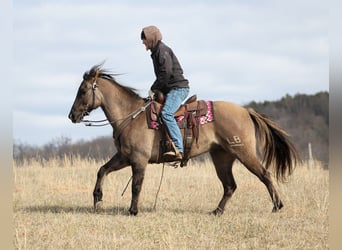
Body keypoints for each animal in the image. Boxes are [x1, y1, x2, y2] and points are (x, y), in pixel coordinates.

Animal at [69, 63, 300, 216]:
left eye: (83, 91)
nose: (72, 115)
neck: (130, 115)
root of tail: (246, 110)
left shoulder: (138, 160)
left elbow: (136, 185)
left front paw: (133, 211)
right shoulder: (124, 157)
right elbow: (102, 170)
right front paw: (97, 198)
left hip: (244, 153)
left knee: (265, 175)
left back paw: (277, 206)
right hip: (222, 157)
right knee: (230, 186)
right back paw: (216, 211)